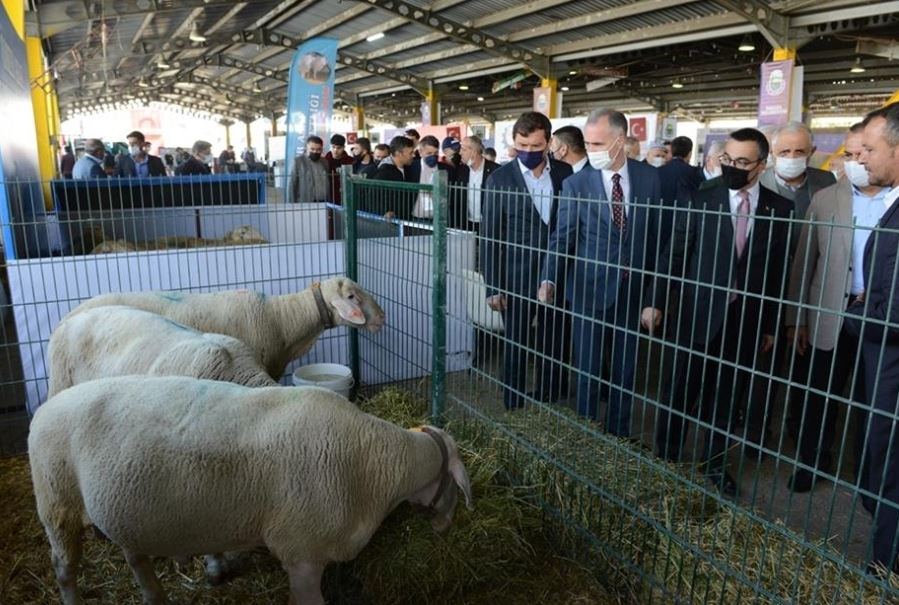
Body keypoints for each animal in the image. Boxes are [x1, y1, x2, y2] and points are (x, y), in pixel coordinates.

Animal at [27, 378, 472, 604]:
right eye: (454, 484)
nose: (447, 528)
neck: (376, 465)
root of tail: (45, 408)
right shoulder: (302, 552)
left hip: (124, 508)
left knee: (135, 557)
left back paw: (155, 597)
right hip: (56, 502)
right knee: (64, 569)